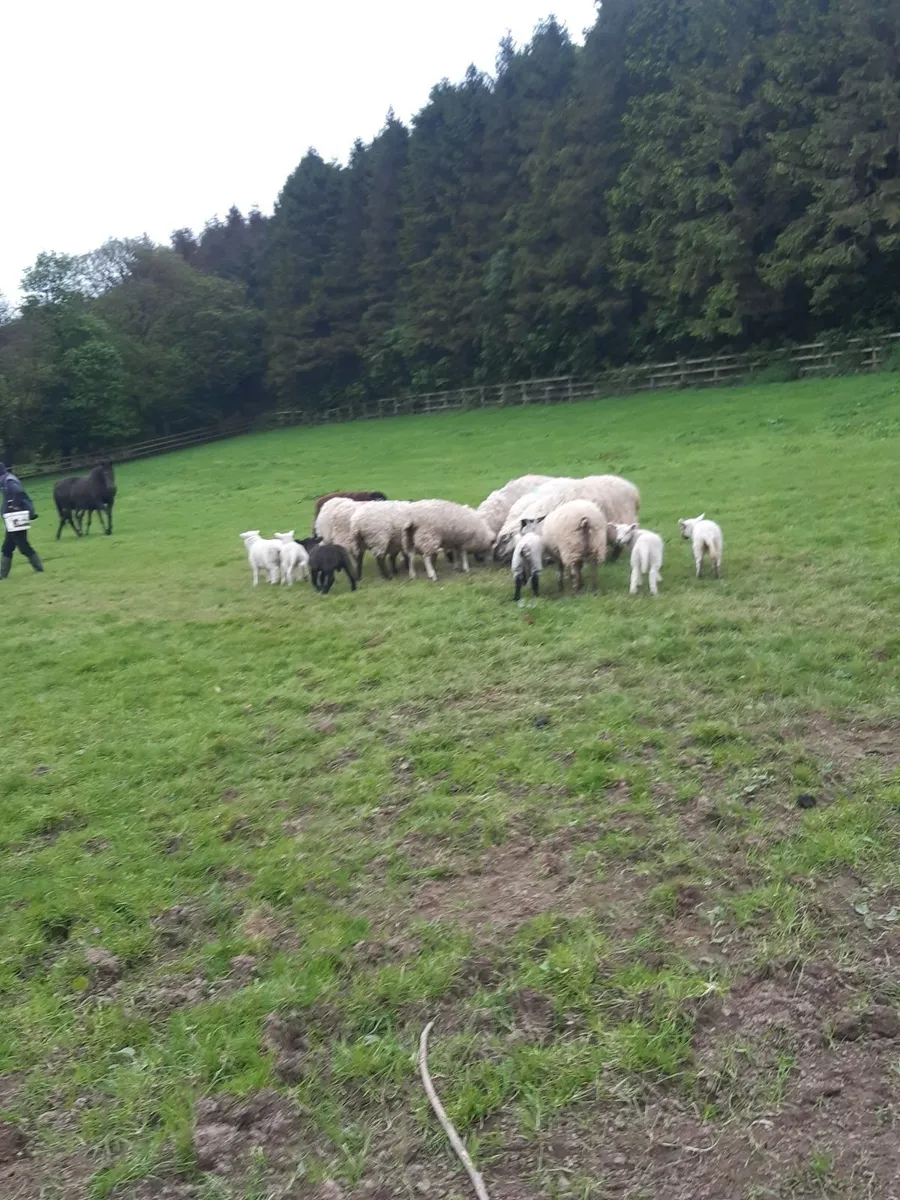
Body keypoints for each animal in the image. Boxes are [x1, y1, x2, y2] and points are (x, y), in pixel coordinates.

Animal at [493, 475, 640, 561]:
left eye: (505, 540)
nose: (497, 556)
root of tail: (632, 489)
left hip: (622, 520)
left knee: (618, 542)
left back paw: (613, 558)